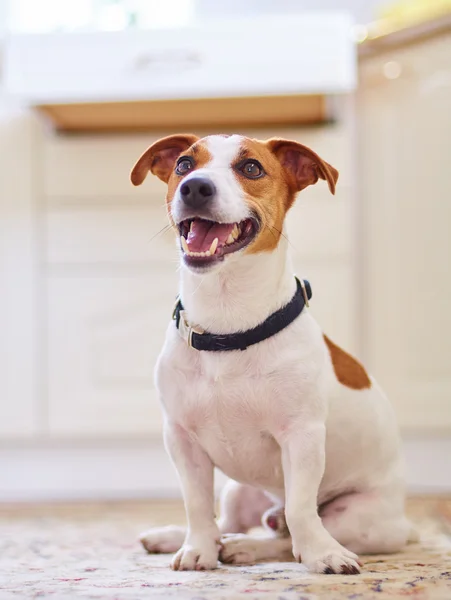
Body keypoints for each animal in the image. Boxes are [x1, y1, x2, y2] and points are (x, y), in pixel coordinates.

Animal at [129, 134, 414, 576]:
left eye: (251, 168)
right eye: (183, 164)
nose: (194, 187)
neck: (228, 326)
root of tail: (405, 524)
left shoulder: (302, 437)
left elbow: (300, 511)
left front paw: (323, 556)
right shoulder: (181, 439)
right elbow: (197, 506)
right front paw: (196, 549)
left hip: (358, 518)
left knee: (286, 534)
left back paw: (249, 547)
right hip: (236, 490)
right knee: (226, 521)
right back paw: (181, 537)